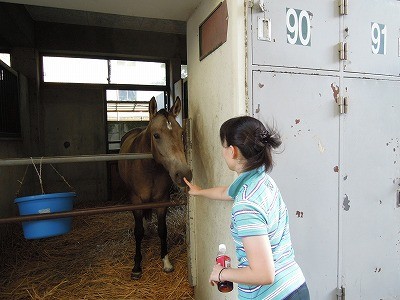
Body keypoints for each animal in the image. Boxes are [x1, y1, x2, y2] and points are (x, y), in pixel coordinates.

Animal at [117, 95, 192, 278]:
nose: (184, 174)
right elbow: (138, 231)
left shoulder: (162, 200)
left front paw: (166, 262)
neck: (149, 168)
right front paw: (137, 266)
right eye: (156, 135)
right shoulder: (135, 201)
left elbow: (163, 230)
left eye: (181, 133)